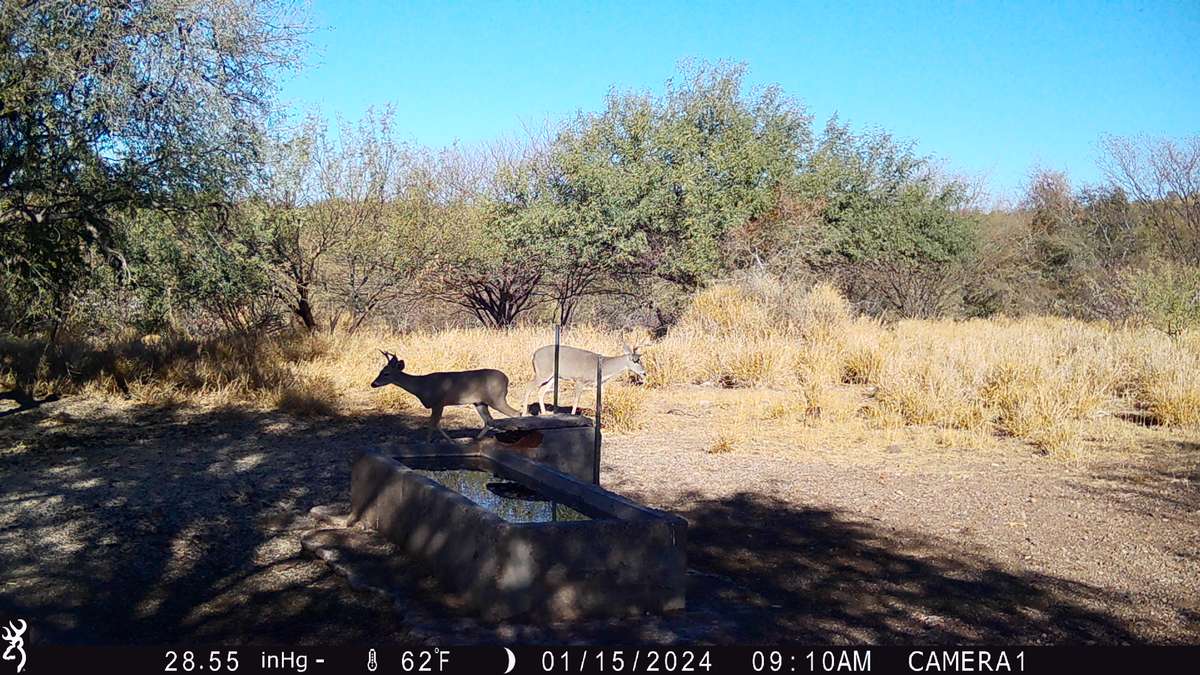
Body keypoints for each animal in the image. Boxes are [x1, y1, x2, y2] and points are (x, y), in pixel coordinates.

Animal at [371, 351, 522, 443]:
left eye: (386, 373)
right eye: (380, 371)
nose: (373, 384)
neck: (421, 386)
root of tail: (506, 379)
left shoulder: (438, 402)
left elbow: (432, 424)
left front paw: (428, 442)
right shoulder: (437, 405)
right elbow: (436, 424)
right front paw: (450, 441)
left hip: (496, 398)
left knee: (516, 413)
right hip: (480, 402)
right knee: (489, 420)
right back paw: (475, 439)